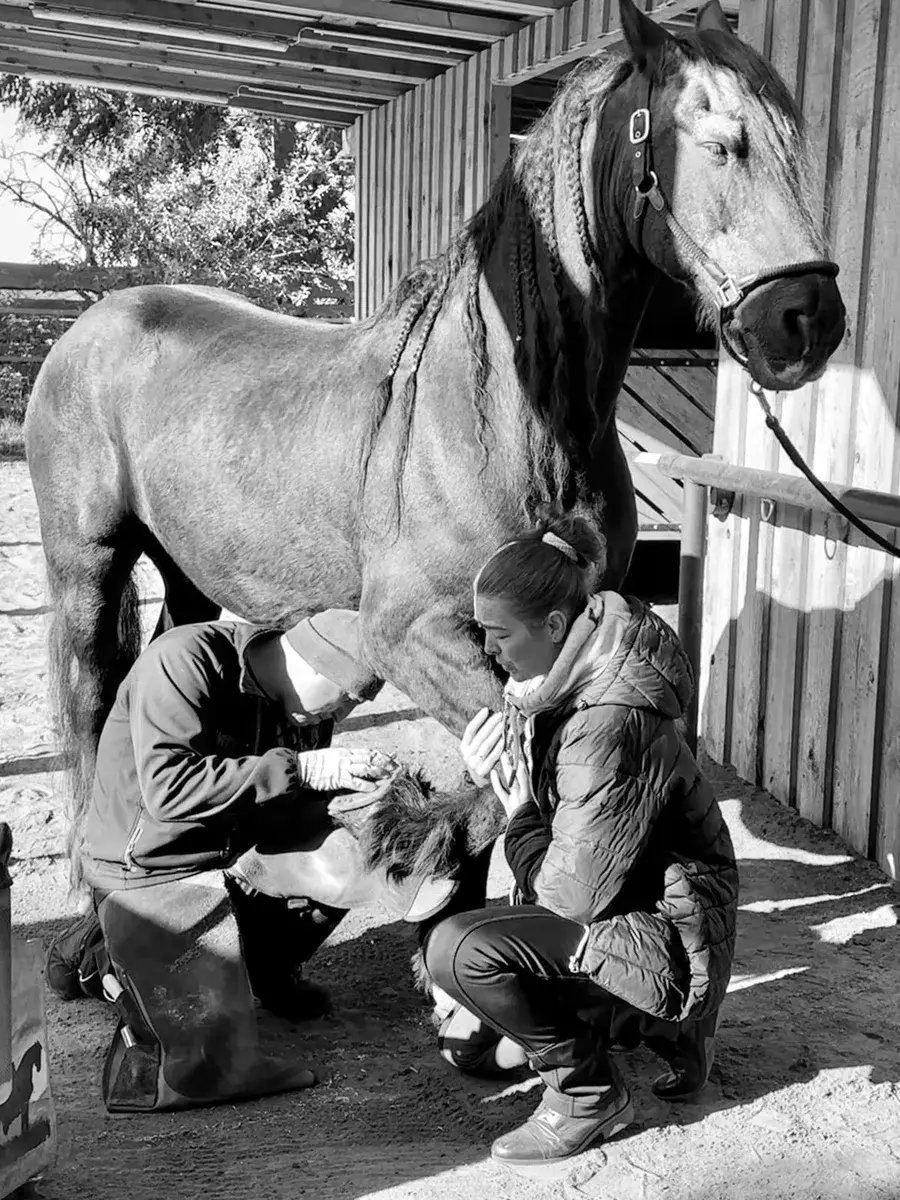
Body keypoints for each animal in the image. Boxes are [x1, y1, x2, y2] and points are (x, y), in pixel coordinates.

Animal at [24, 0, 846, 890]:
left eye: (796, 144)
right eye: (720, 143)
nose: (808, 320)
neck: (508, 418)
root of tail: (92, 322)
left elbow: (515, 769)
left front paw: (427, 838)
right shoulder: (408, 631)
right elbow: (504, 762)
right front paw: (415, 836)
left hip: (186, 564)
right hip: (88, 565)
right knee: (91, 700)